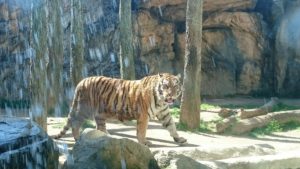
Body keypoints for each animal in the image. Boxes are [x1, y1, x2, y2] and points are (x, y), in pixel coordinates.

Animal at [52, 72, 186, 145]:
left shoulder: (164, 113)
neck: (161, 101)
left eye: (175, 86)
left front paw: (179, 139)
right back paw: (78, 138)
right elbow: (142, 131)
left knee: (99, 127)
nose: (171, 96)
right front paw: (144, 142)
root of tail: (81, 82)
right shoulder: (143, 115)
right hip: (84, 109)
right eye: (166, 86)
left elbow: (171, 125)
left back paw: (106, 137)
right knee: (75, 123)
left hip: (99, 114)